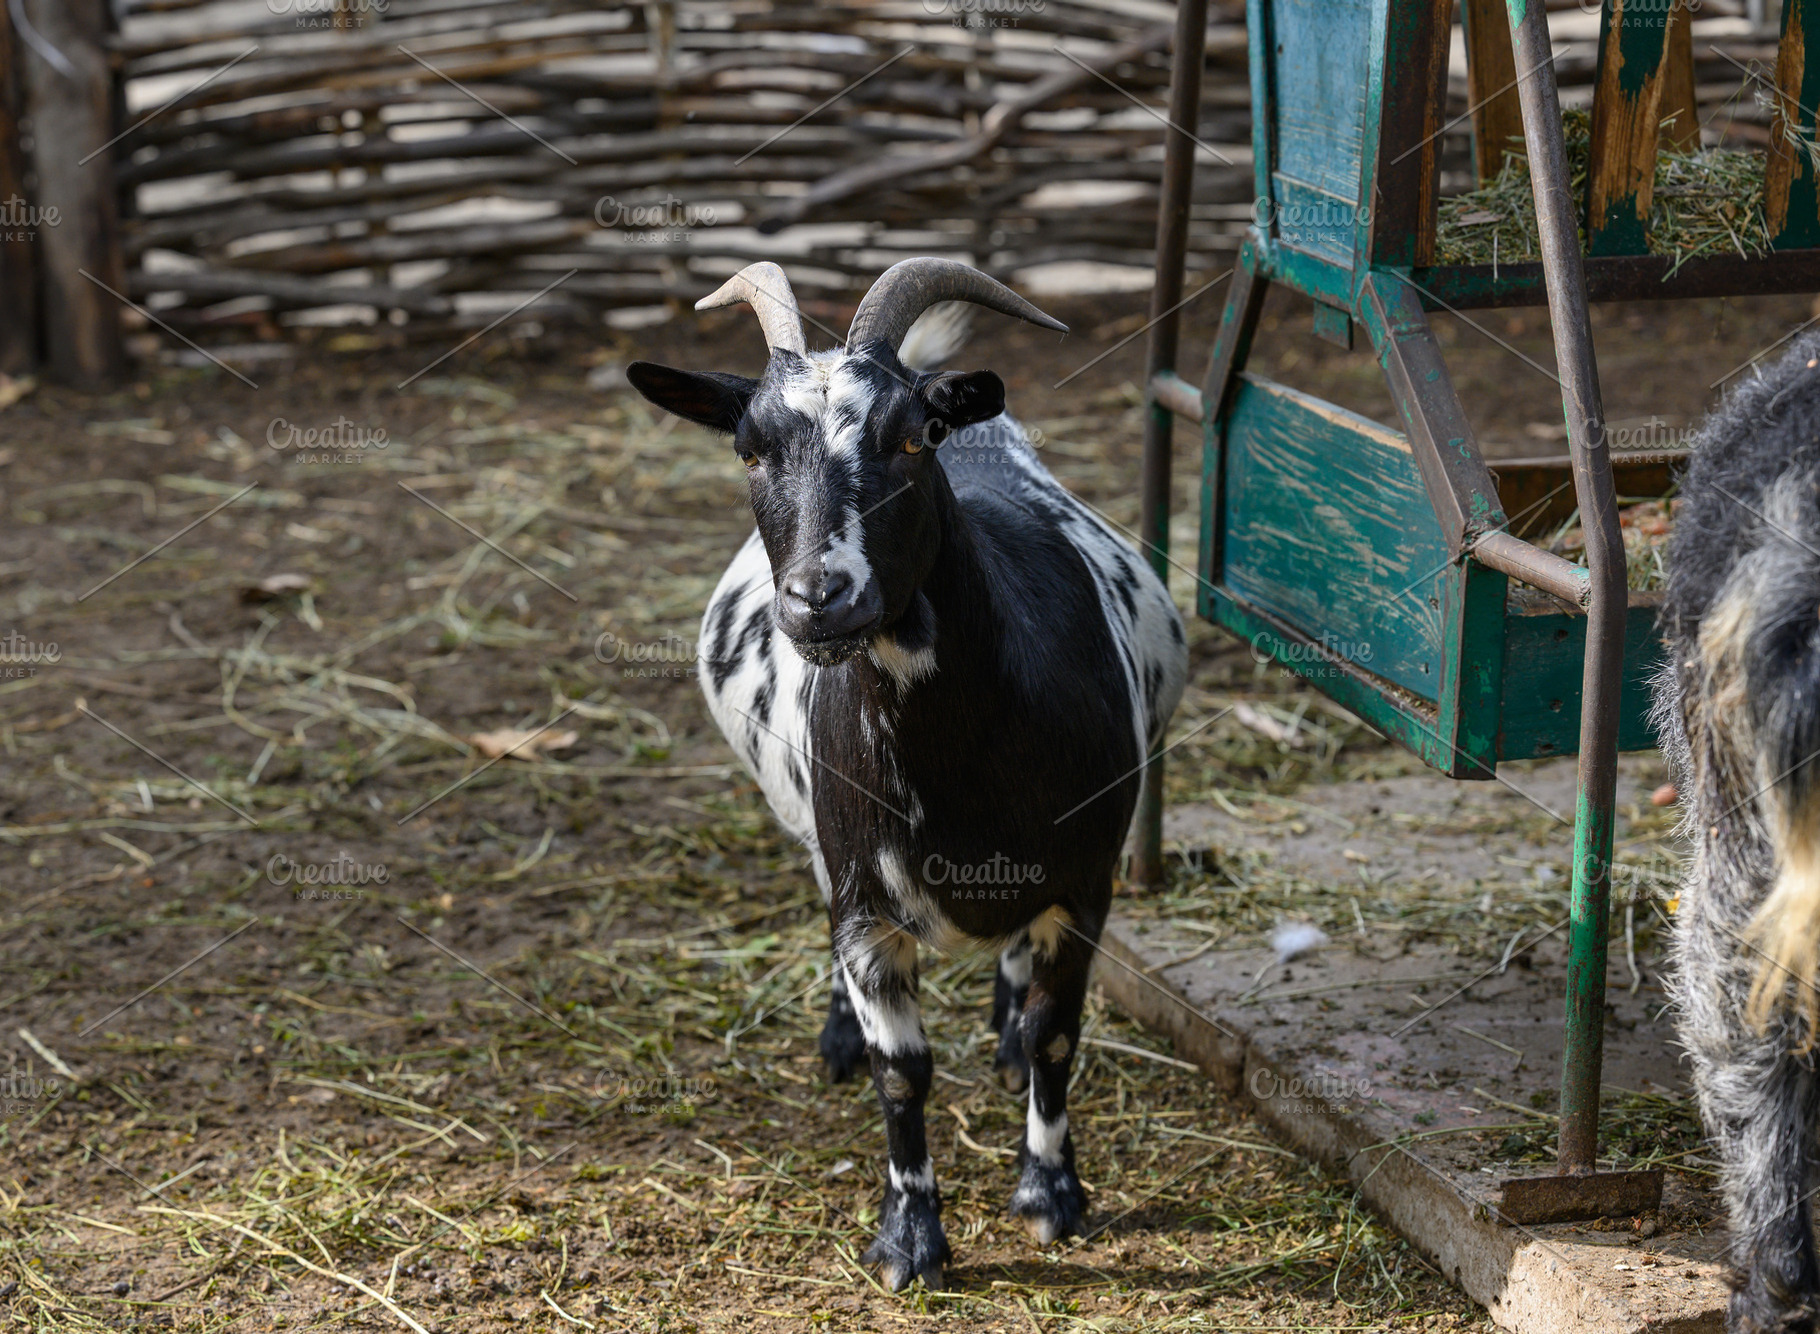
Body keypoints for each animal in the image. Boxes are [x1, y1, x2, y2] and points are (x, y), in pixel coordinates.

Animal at [627, 260, 1187, 1289]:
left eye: (912, 436)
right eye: (749, 450)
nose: (821, 598)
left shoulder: (1085, 882)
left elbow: (1055, 1032)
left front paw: (1050, 1196)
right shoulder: (865, 905)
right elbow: (904, 1070)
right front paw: (910, 1239)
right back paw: (840, 1037)